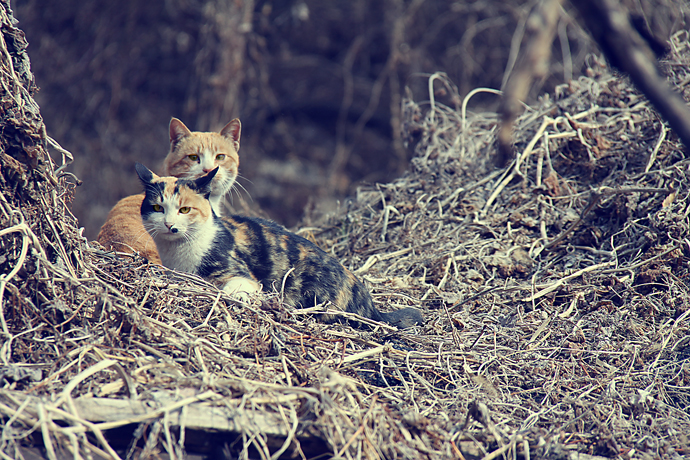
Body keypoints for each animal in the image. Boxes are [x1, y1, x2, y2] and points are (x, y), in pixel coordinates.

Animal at [134, 164, 422, 328]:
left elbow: (233, 290)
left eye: (184, 209)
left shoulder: (241, 276)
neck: (178, 253)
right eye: (158, 208)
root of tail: (370, 304)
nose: (170, 225)